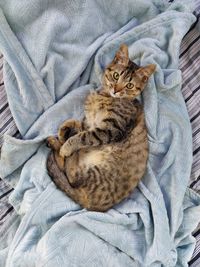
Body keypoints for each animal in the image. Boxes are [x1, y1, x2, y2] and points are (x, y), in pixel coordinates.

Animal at [46, 43, 155, 211]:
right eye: (116, 76)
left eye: (129, 85)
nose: (116, 90)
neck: (105, 96)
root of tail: (90, 205)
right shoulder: (90, 122)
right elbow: (79, 126)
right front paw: (65, 128)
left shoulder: (111, 129)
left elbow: (83, 136)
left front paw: (67, 145)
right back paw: (58, 139)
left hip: (94, 173)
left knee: (70, 173)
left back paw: (59, 146)